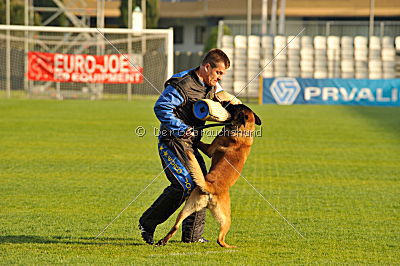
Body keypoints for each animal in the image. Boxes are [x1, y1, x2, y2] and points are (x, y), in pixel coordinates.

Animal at [155, 103, 260, 247]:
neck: (244, 131)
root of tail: (211, 188)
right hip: (192, 209)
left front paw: (194, 135)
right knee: (178, 227)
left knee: (218, 239)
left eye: (236, 107)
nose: (228, 103)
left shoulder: (210, 149)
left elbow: (200, 143)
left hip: (222, 217)